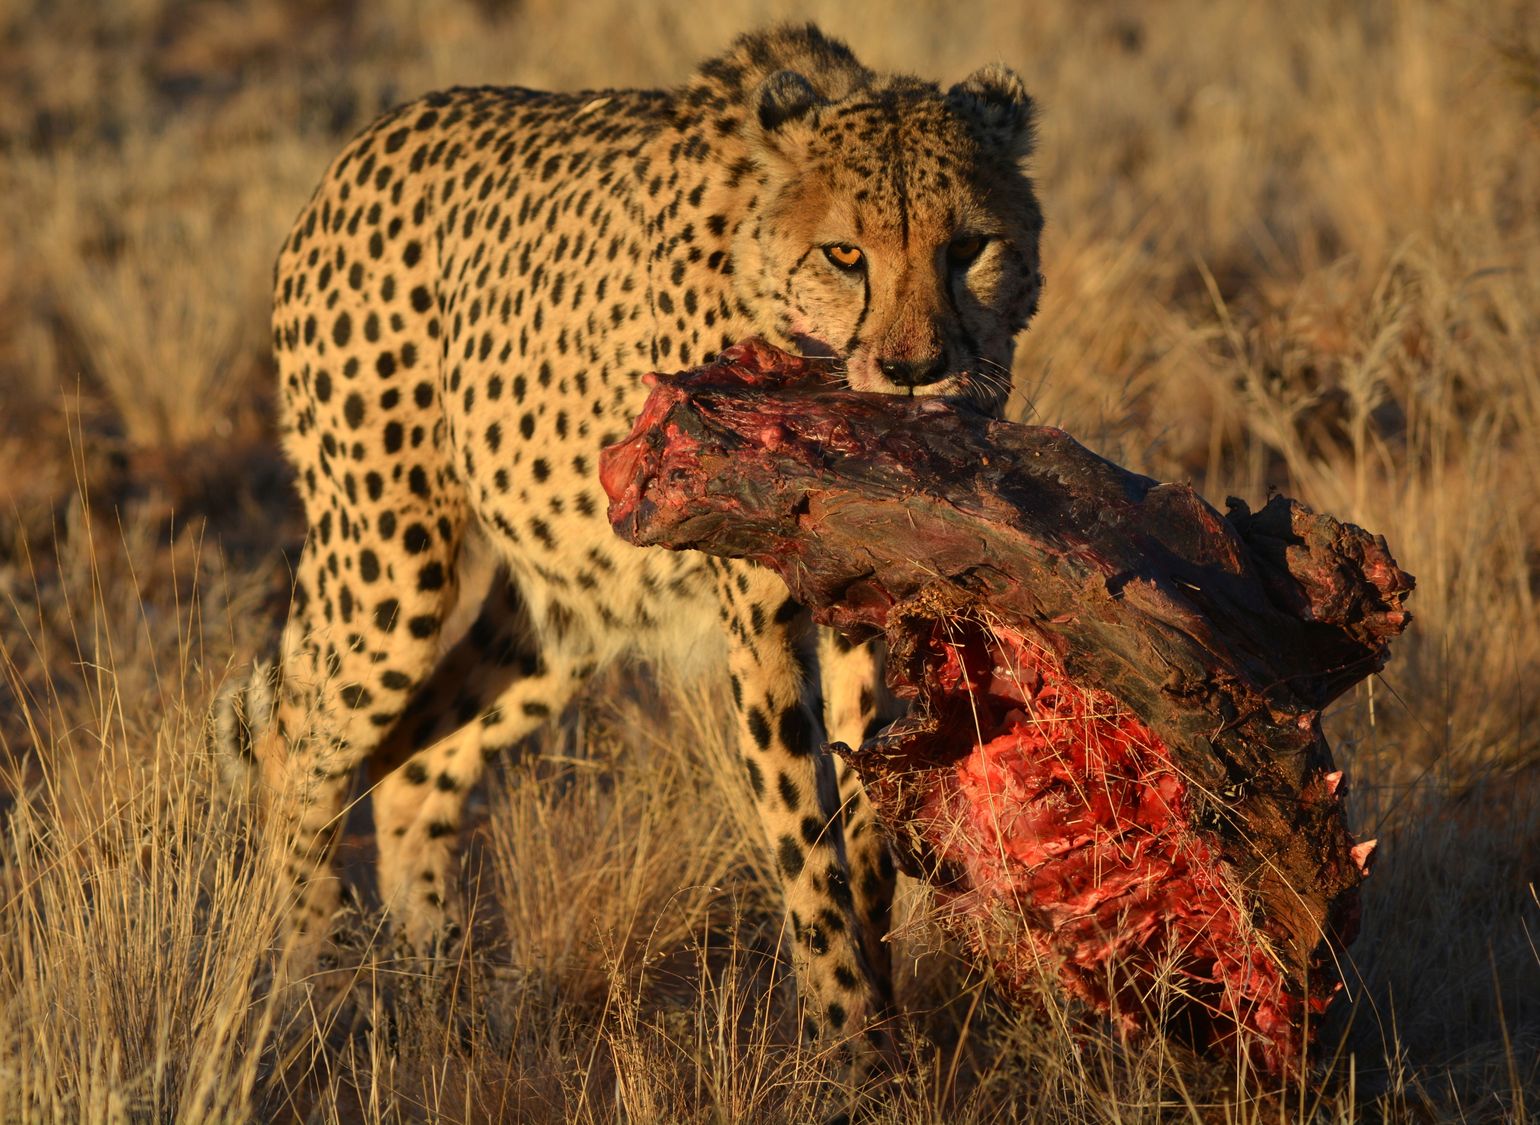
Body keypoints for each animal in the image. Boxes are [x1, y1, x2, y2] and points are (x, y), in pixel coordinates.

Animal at [223, 22, 1044, 1054]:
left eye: (969, 247)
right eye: (845, 254)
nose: (914, 369)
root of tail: (374, 137)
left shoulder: (865, 606)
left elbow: (863, 819)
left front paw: (890, 1020)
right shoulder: (761, 619)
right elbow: (804, 835)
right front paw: (852, 1042)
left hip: (567, 612)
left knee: (413, 754)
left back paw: (440, 989)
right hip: (388, 563)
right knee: (297, 741)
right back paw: (313, 974)